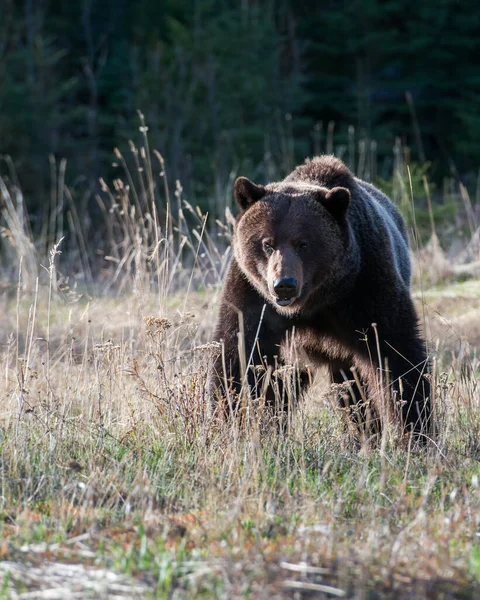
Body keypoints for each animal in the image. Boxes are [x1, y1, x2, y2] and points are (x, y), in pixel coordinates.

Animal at [210, 152, 432, 438]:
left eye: (303, 244)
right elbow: (237, 353)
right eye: (267, 243)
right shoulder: (252, 296)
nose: (284, 285)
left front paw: (415, 428)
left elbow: (396, 351)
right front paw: (228, 420)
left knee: (353, 386)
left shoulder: (365, 285)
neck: (314, 300)